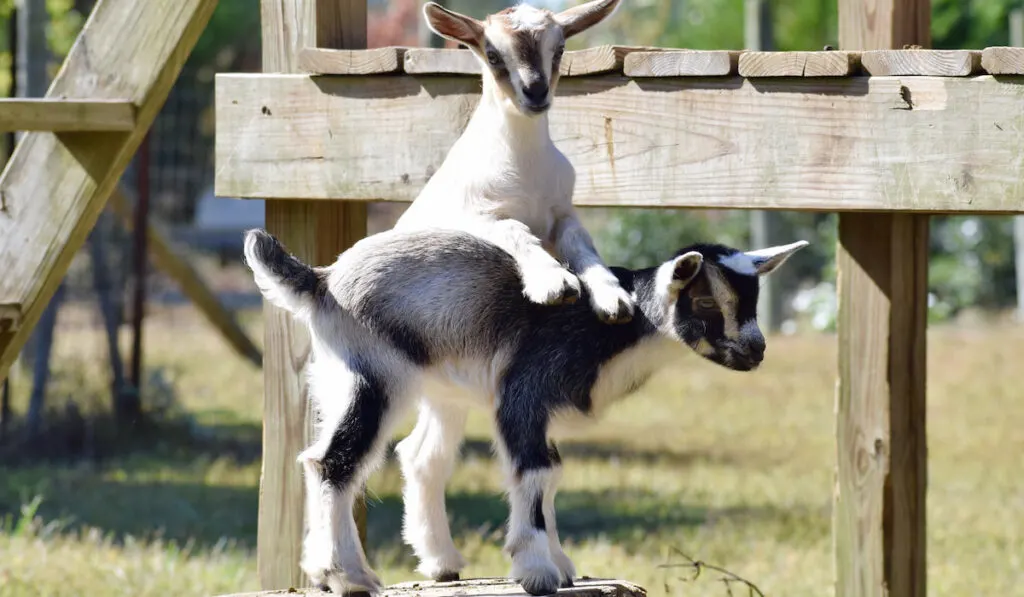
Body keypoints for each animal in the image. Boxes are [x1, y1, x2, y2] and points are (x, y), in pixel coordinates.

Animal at [241, 227, 806, 597]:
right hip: (373, 374)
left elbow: (551, 474)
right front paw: (537, 571)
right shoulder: (525, 391)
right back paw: (348, 577)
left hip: (400, 384)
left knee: (410, 457)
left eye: (751, 301)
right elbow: (535, 470)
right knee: (334, 462)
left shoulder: (540, 411)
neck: (617, 327)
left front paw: (561, 563)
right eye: (707, 304)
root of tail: (322, 280)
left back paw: (433, 562)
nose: (755, 351)